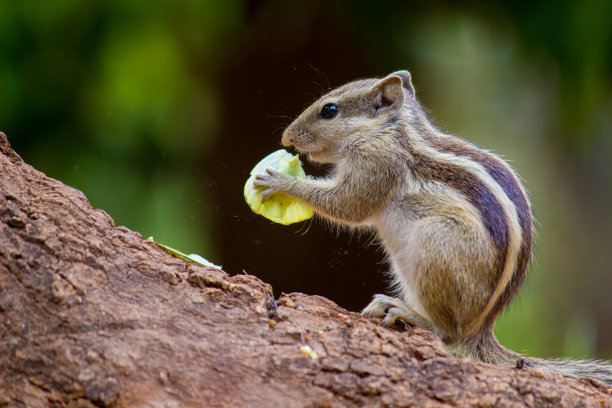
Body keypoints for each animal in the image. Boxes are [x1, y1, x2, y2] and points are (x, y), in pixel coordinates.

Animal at [252, 70, 612, 386]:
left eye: (329, 110)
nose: (286, 138)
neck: (389, 131)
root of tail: (481, 327)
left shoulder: (377, 164)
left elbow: (349, 206)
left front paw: (281, 181)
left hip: (435, 241)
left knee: (447, 332)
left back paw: (405, 312)